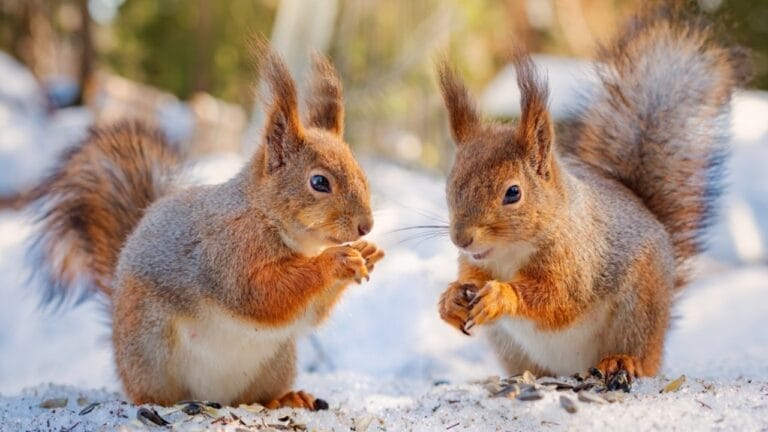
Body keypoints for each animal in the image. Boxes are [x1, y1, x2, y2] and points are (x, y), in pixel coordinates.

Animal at [29, 44, 384, 408]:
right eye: (319, 182)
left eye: (362, 174)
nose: (366, 226)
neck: (267, 217)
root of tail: (215, 396)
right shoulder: (227, 251)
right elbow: (261, 295)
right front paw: (337, 260)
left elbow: (311, 313)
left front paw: (366, 253)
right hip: (149, 346)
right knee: (151, 391)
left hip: (277, 360)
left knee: (257, 396)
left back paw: (286, 398)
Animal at [436, 6, 749, 385]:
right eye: (450, 184)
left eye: (513, 193)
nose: (461, 239)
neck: (511, 252)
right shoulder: (475, 264)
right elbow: (469, 279)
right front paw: (450, 300)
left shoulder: (580, 262)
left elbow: (557, 299)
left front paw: (501, 295)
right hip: (508, 343)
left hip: (638, 310)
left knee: (639, 357)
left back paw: (621, 362)